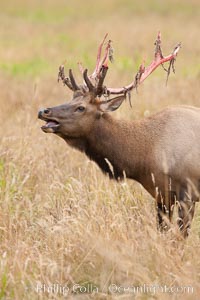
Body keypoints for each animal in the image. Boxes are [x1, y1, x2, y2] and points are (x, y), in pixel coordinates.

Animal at [37, 32, 198, 238]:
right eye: (71, 99)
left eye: (80, 107)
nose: (44, 111)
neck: (146, 156)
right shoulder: (161, 194)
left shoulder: (188, 192)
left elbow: (180, 237)